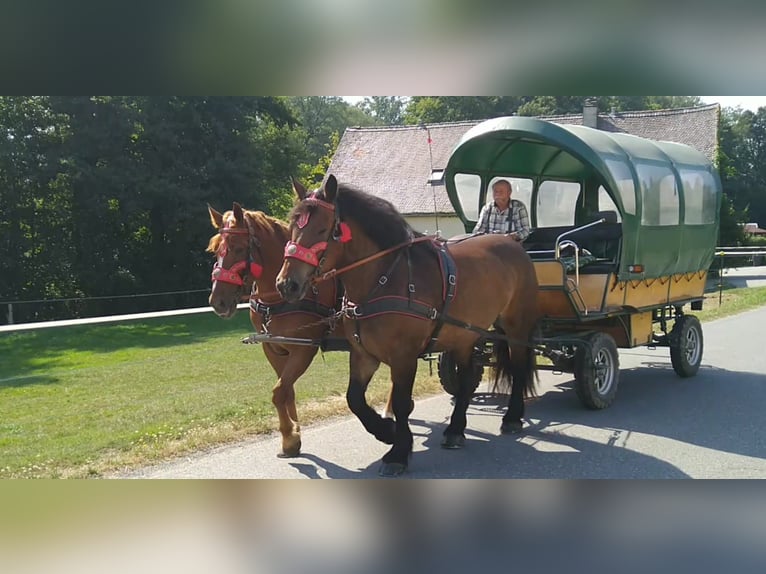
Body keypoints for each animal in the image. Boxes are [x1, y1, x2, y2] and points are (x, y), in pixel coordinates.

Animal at [276, 178, 540, 480]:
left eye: (322, 229)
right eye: (292, 226)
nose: (286, 284)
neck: (384, 278)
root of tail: (512, 243)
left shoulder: (404, 357)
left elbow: (402, 403)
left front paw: (398, 452)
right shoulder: (363, 354)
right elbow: (354, 399)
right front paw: (386, 432)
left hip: (516, 326)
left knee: (518, 368)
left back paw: (512, 418)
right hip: (464, 335)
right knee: (467, 379)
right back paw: (455, 430)